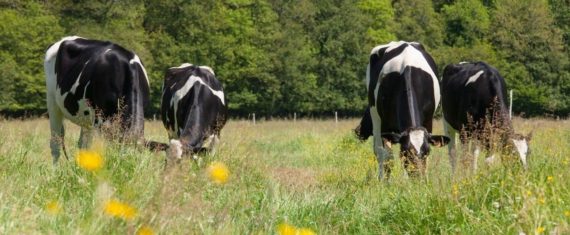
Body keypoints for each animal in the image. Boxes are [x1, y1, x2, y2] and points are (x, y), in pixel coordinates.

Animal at [350, 41, 448, 179]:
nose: (418, 177)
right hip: (375, 115)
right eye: (406, 151)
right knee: (379, 151)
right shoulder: (384, 125)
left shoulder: (428, 121)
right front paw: (384, 181)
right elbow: (386, 157)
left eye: (427, 151)